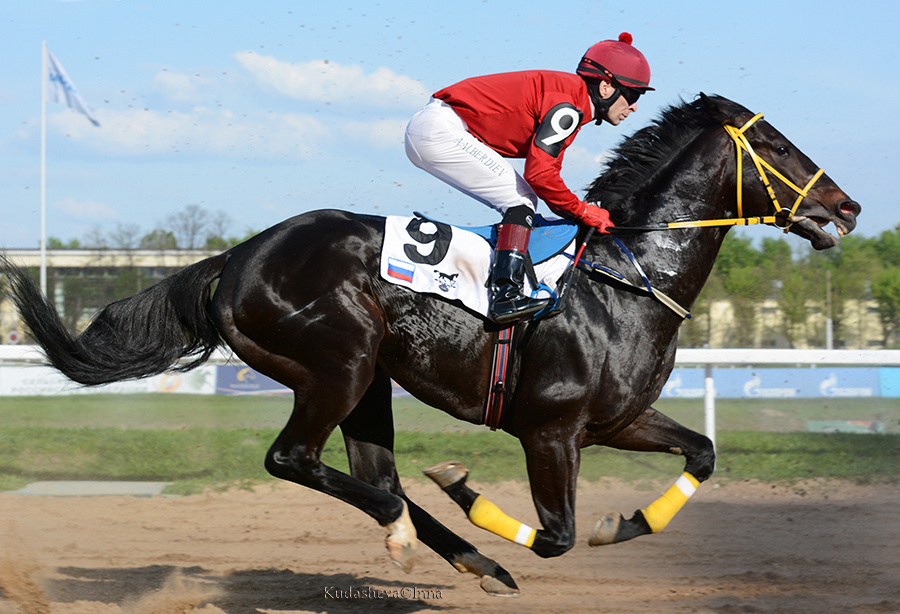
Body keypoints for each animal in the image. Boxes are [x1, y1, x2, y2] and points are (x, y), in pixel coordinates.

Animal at [2, 94, 860, 596]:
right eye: (776, 145)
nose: (846, 206)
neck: (625, 274)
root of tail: (236, 256)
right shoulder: (551, 429)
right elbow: (557, 537)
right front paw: (474, 494)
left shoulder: (615, 420)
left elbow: (703, 453)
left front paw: (620, 525)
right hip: (338, 364)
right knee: (299, 461)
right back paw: (419, 532)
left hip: (367, 380)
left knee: (364, 472)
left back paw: (454, 547)